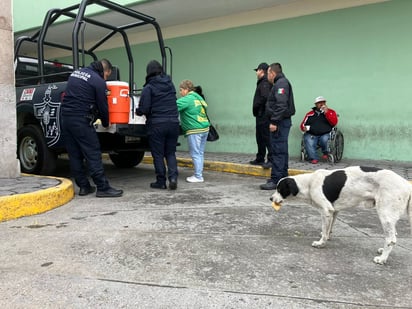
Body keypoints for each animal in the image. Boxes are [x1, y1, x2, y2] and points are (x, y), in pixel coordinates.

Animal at [270, 165, 412, 264]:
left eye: (279, 189)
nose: (270, 198)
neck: (308, 184)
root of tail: (407, 185)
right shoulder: (334, 211)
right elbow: (329, 229)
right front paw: (327, 237)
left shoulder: (326, 210)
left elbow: (324, 230)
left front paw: (321, 243)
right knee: (393, 235)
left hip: (385, 215)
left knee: (391, 239)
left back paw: (382, 259)